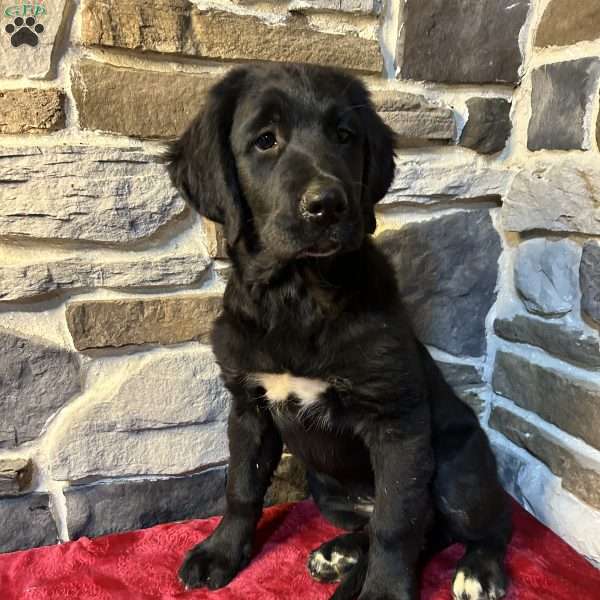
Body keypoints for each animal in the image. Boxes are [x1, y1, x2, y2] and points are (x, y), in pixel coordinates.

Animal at [165, 63, 510, 596]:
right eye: (265, 140)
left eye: (345, 136)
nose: (327, 204)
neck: (298, 295)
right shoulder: (248, 406)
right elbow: (241, 486)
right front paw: (220, 552)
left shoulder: (396, 423)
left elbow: (397, 523)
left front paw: (384, 590)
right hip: (327, 492)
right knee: (414, 526)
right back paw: (341, 553)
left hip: (460, 468)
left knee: (476, 524)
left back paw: (479, 569)